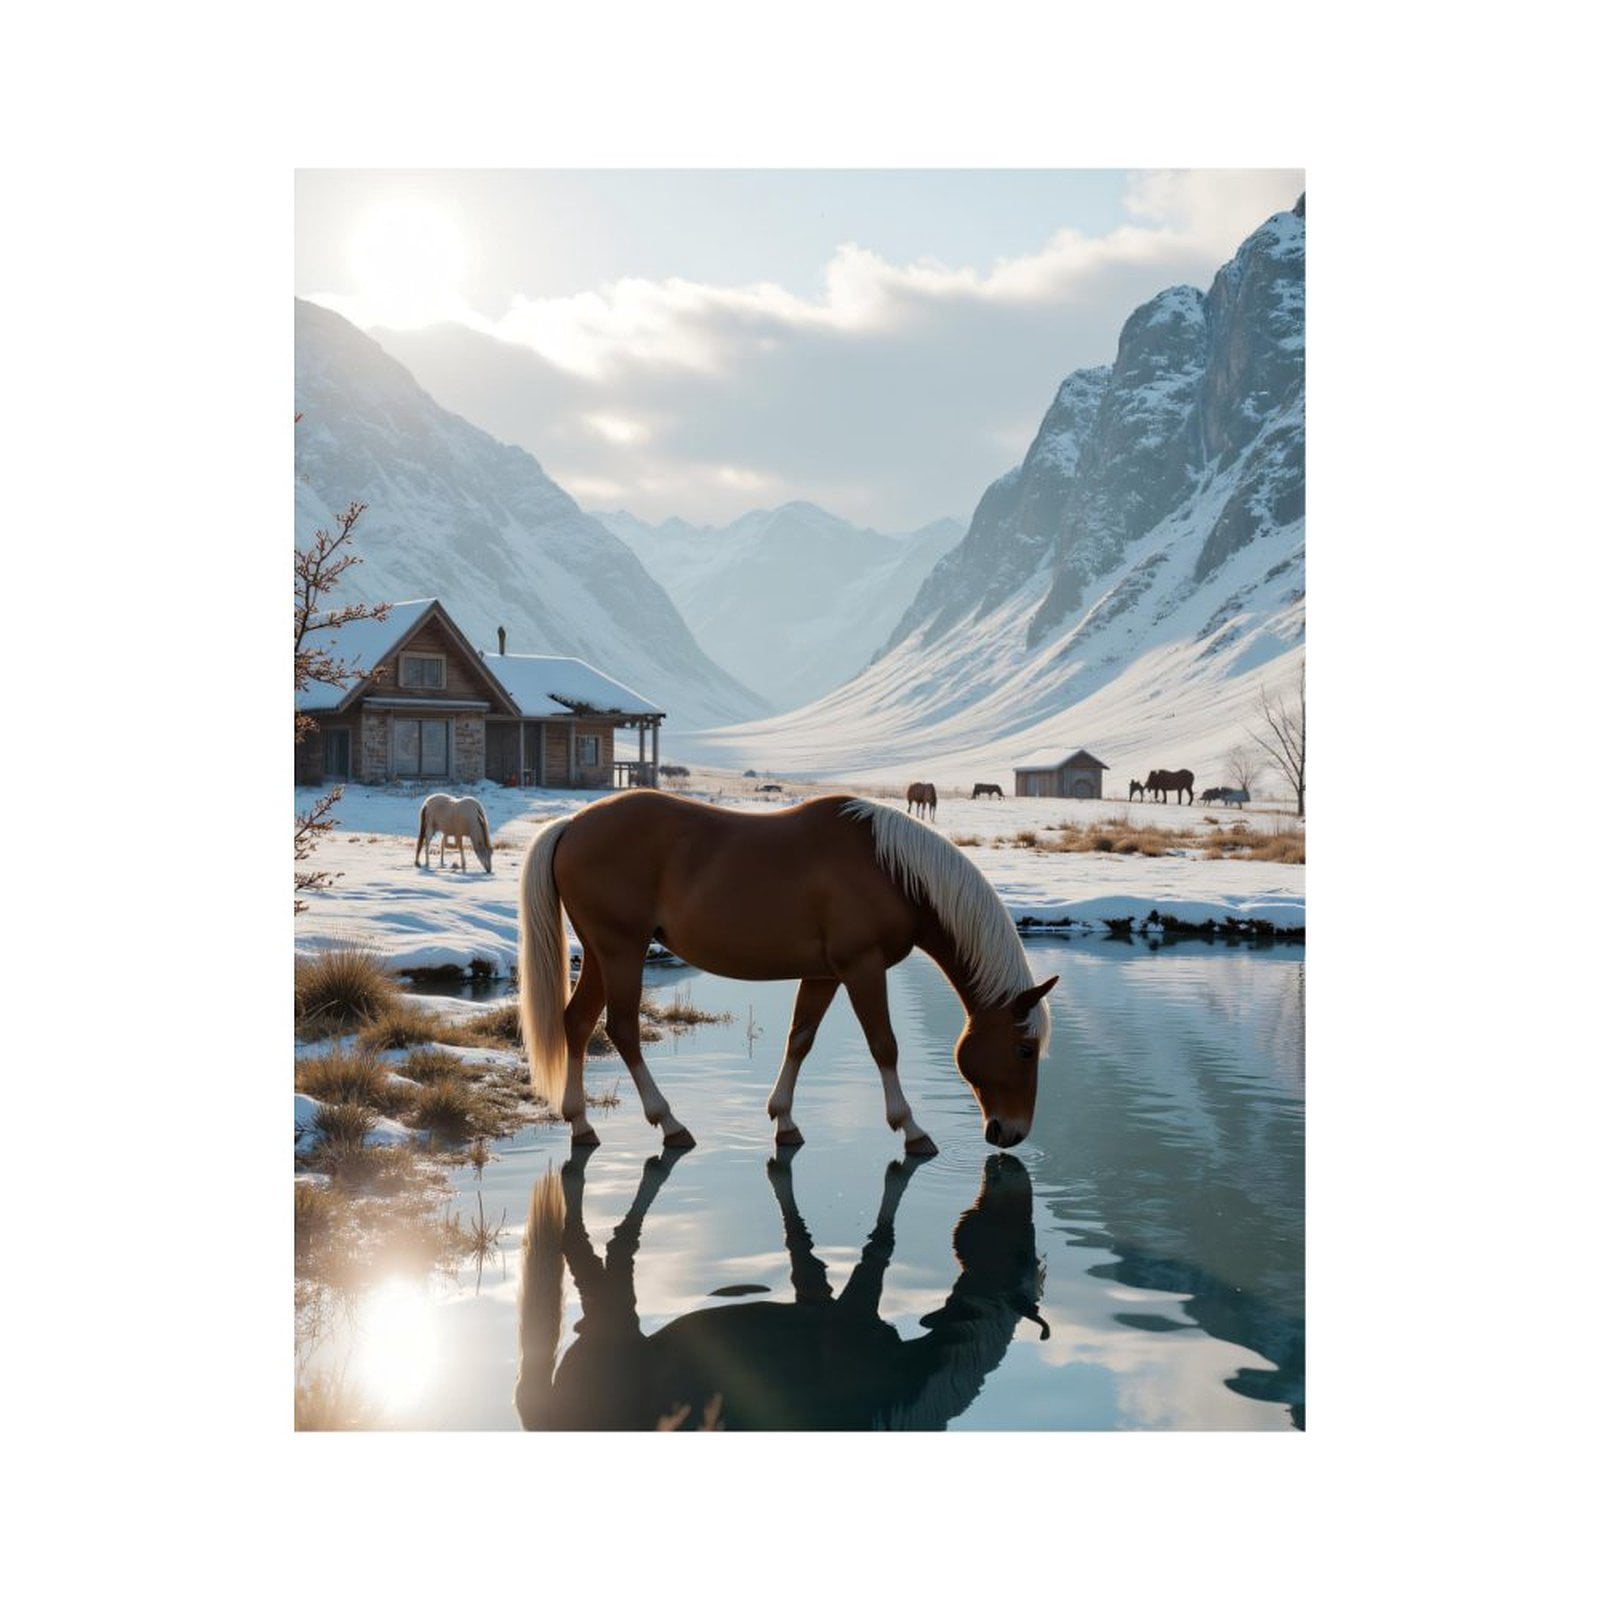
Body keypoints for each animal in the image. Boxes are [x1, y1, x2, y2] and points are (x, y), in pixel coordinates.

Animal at [515, 1145, 1048, 1432]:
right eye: (1022, 1253)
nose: (1006, 1157)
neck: (909, 1391)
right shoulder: (851, 1314)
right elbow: (879, 1240)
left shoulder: (824, 1303)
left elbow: (804, 1248)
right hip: (612, 1325)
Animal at [518, 791, 1057, 1156]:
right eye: (1024, 1050)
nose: (1011, 1133)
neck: (891, 872)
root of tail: (572, 825)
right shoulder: (863, 968)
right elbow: (884, 1046)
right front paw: (911, 1129)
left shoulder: (826, 974)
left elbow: (800, 1039)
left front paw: (784, 1121)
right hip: (622, 950)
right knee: (623, 1029)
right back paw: (669, 1123)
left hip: (602, 953)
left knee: (577, 1023)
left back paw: (581, 1124)